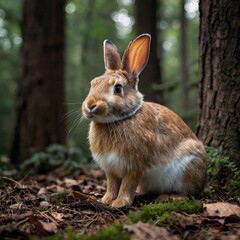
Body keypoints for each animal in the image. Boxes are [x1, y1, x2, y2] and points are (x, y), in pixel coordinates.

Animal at [81, 34, 207, 208]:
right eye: (93, 83)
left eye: (118, 88)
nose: (90, 105)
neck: (120, 119)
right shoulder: (111, 170)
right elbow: (112, 184)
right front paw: (106, 200)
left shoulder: (134, 166)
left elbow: (127, 185)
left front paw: (119, 203)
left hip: (187, 169)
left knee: (189, 193)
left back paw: (170, 197)